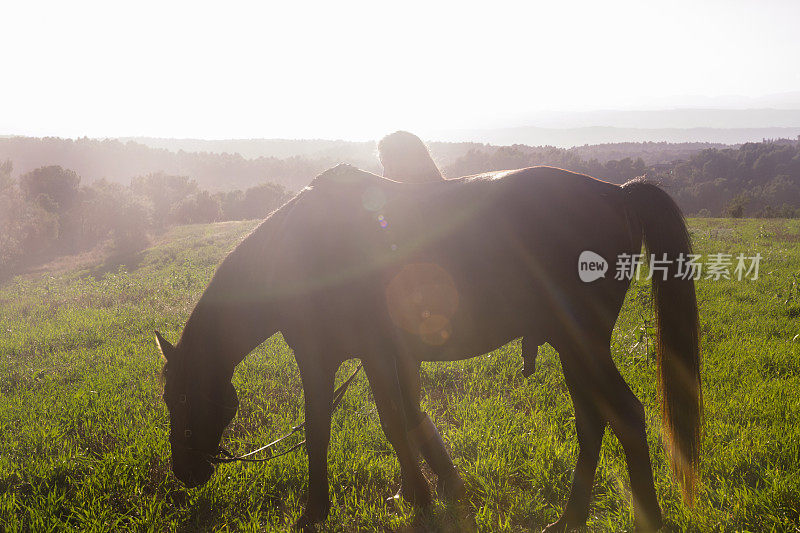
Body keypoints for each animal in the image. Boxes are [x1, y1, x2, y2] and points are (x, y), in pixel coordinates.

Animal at [156, 164, 700, 528]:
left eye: (180, 397)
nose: (184, 471)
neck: (302, 250)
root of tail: (616, 193)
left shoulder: (332, 358)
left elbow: (348, 427)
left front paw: (327, 509)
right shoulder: (382, 355)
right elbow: (398, 419)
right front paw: (418, 492)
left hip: (582, 342)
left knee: (625, 415)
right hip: (574, 349)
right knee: (592, 423)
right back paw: (569, 518)